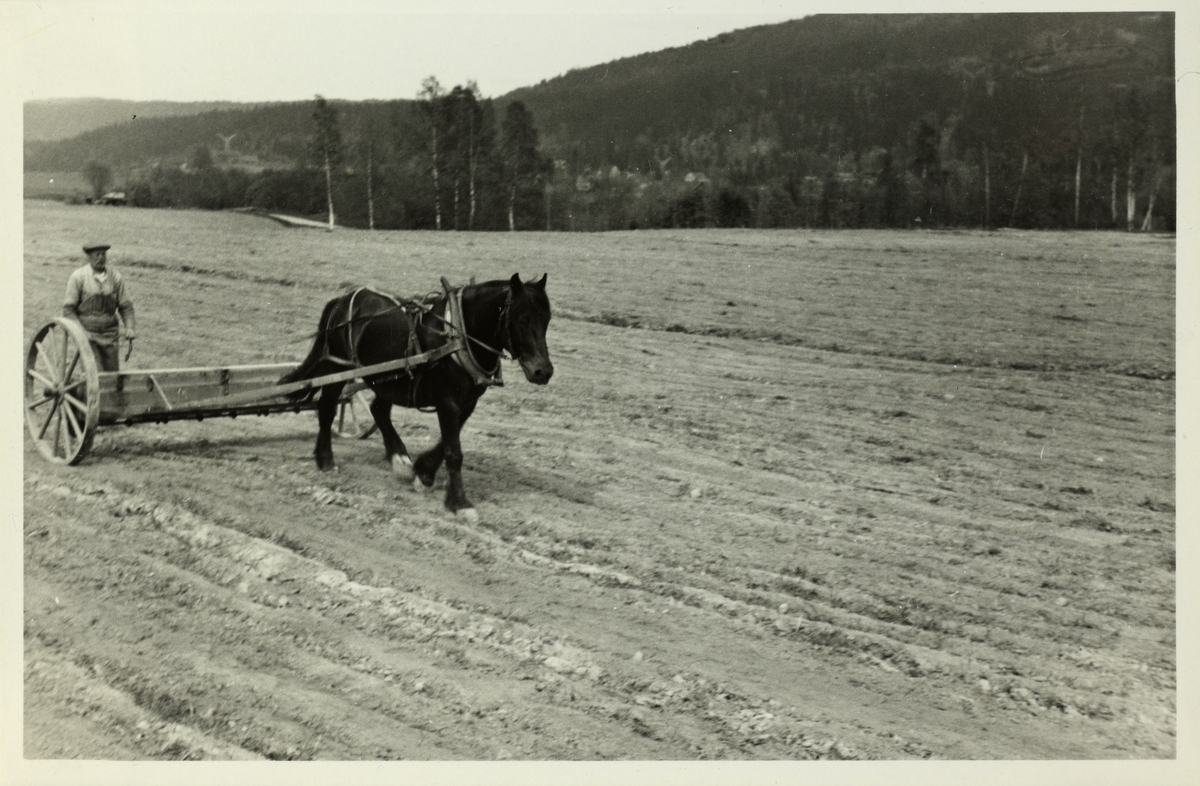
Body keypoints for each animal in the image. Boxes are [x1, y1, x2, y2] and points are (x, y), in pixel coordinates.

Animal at [283, 277, 554, 523]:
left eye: (547, 319)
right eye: (521, 319)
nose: (543, 371)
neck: (459, 334)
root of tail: (341, 300)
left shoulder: (467, 402)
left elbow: (446, 444)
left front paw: (424, 473)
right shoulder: (447, 401)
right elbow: (454, 452)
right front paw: (459, 503)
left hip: (386, 379)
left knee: (378, 410)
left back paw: (399, 458)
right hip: (337, 367)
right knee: (327, 408)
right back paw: (326, 460)